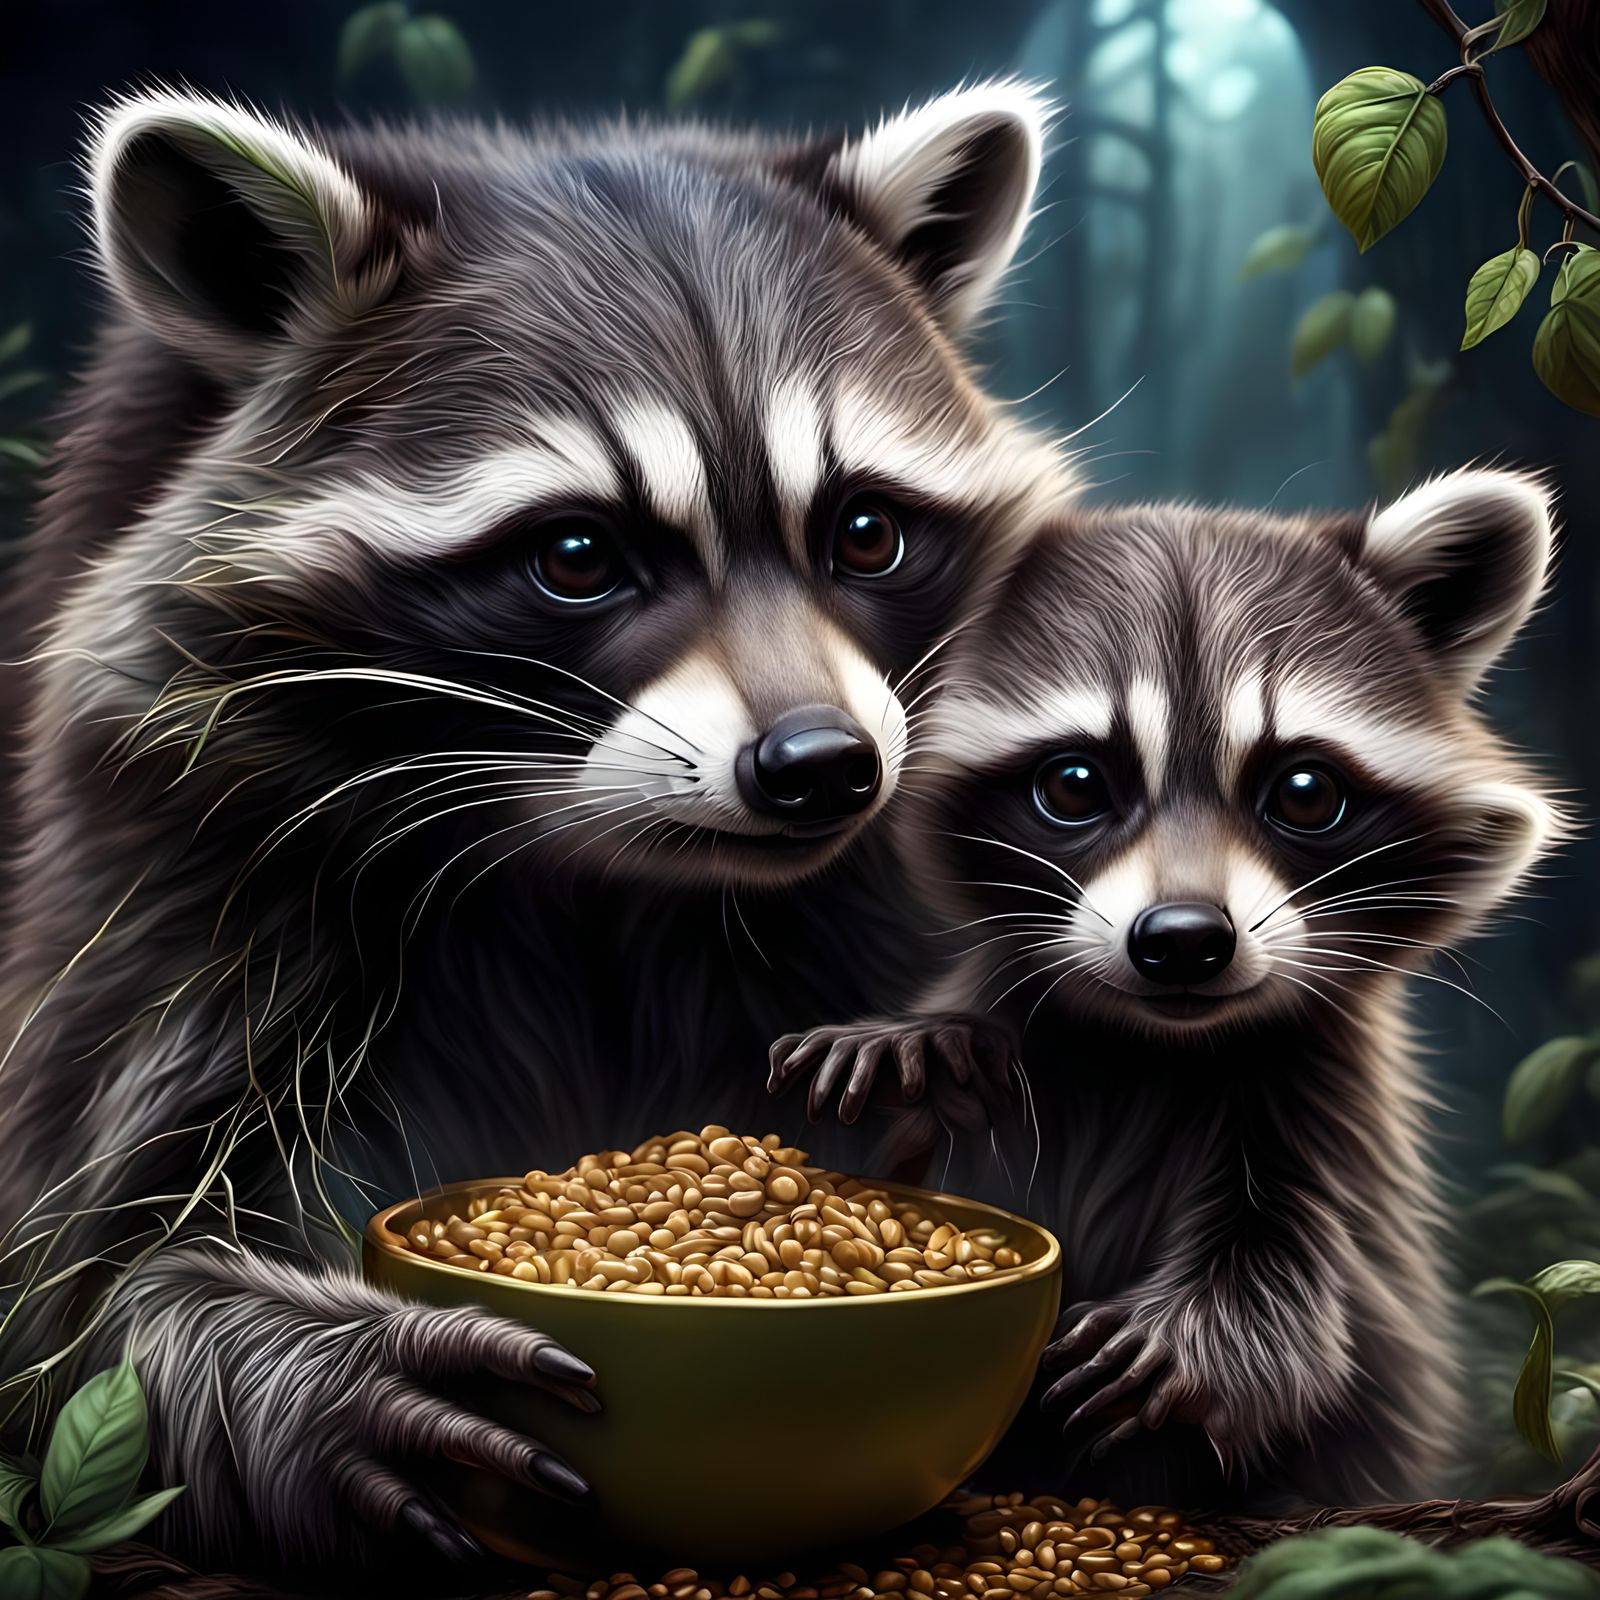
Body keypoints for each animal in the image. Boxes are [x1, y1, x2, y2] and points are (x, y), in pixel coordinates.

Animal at [0, 83, 1072, 1576]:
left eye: (865, 532)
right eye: (577, 556)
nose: (821, 770)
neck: (599, 882)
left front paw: (937, 1091)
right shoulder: (173, 891)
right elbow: (78, 1295)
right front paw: (289, 1357)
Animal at [772, 469, 1561, 1509]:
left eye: (1305, 791)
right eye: (1074, 783)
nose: (1184, 943)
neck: (1149, 1043)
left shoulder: (1324, 1098)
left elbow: (1306, 1274)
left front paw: (1201, 1344)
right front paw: (920, 1050)